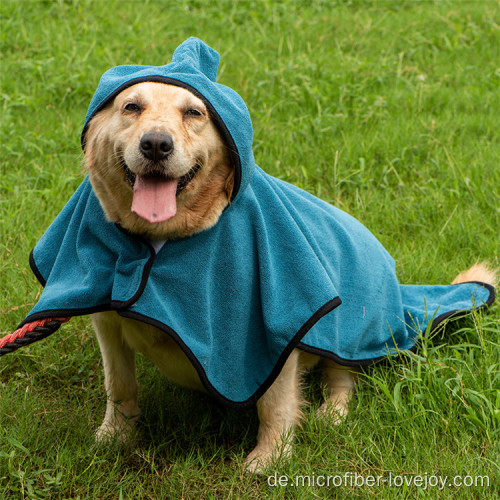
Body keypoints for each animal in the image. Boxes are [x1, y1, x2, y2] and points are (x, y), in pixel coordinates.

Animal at [85, 82, 496, 472]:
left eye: (193, 112)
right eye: (131, 106)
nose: (156, 144)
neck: (163, 239)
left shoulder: (277, 333)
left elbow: (275, 404)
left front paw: (270, 459)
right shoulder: (107, 324)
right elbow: (119, 385)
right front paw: (114, 436)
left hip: (348, 325)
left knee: (344, 378)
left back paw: (332, 413)